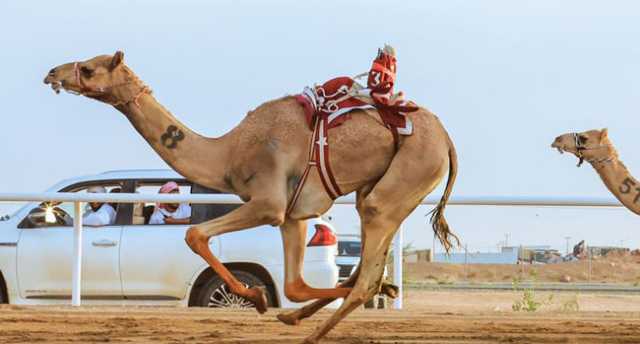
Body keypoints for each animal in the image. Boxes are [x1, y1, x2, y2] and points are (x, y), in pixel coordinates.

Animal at [42, 49, 458, 342]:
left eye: (90, 68)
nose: (51, 72)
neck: (228, 152)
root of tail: (449, 142)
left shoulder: (268, 203)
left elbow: (194, 233)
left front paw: (255, 297)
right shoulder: (292, 215)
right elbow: (292, 285)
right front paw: (270, 303)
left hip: (406, 176)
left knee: (365, 276)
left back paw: (312, 333)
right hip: (383, 190)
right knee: (360, 272)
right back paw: (301, 314)